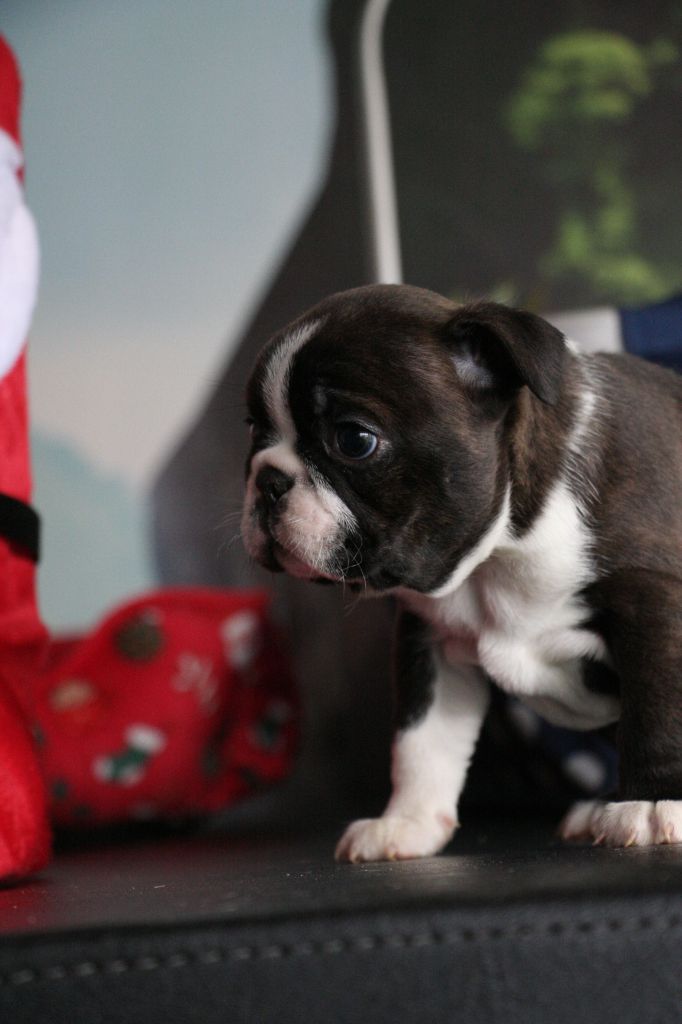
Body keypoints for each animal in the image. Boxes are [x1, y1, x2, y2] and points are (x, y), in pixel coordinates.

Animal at [241, 283, 682, 860]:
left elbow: (658, 708)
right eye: (254, 430)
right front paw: (406, 823)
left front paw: (654, 802)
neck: (498, 551)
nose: (268, 480)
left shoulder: (654, 604)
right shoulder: (429, 642)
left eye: (354, 439)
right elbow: (420, 740)